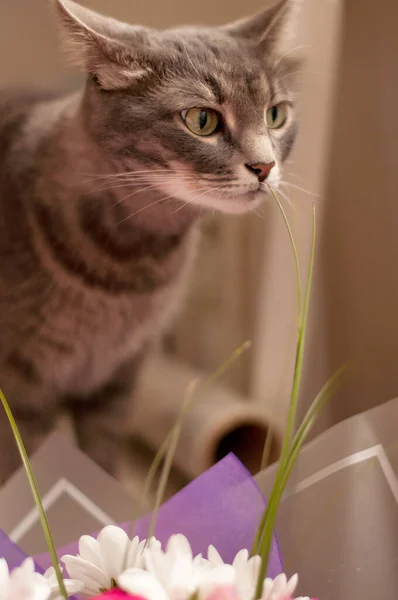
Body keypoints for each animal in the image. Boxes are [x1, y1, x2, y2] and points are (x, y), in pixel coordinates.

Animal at [0, 0, 300, 480]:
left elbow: (100, 457)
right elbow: (21, 471)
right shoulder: (21, 389)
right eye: (202, 120)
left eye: (276, 114)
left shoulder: (119, 380)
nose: (265, 166)